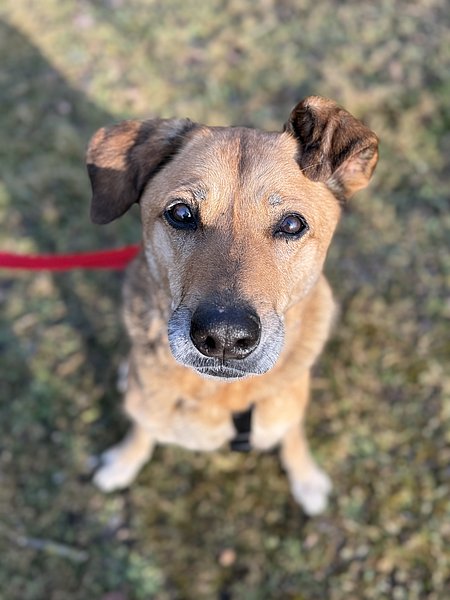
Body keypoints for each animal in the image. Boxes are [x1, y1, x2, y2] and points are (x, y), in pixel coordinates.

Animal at [87, 96, 378, 515]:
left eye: (292, 224)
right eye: (181, 213)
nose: (223, 338)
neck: (221, 395)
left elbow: (293, 436)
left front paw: (306, 478)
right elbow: (142, 429)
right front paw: (123, 462)